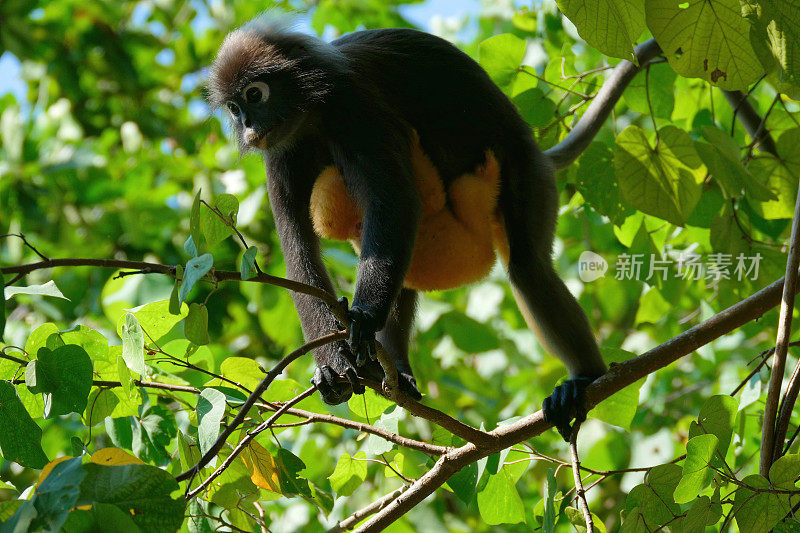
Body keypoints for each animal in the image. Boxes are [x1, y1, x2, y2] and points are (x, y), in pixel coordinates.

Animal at [208, 20, 608, 438]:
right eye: (234, 108)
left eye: (255, 94)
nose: (247, 125)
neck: (312, 116)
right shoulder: (280, 153)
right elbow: (299, 253)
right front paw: (332, 367)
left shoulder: (355, 107)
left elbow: (394, 201)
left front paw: (364, 319)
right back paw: (394, 372)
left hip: (525, 169)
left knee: (527, 268)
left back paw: (584, 379)